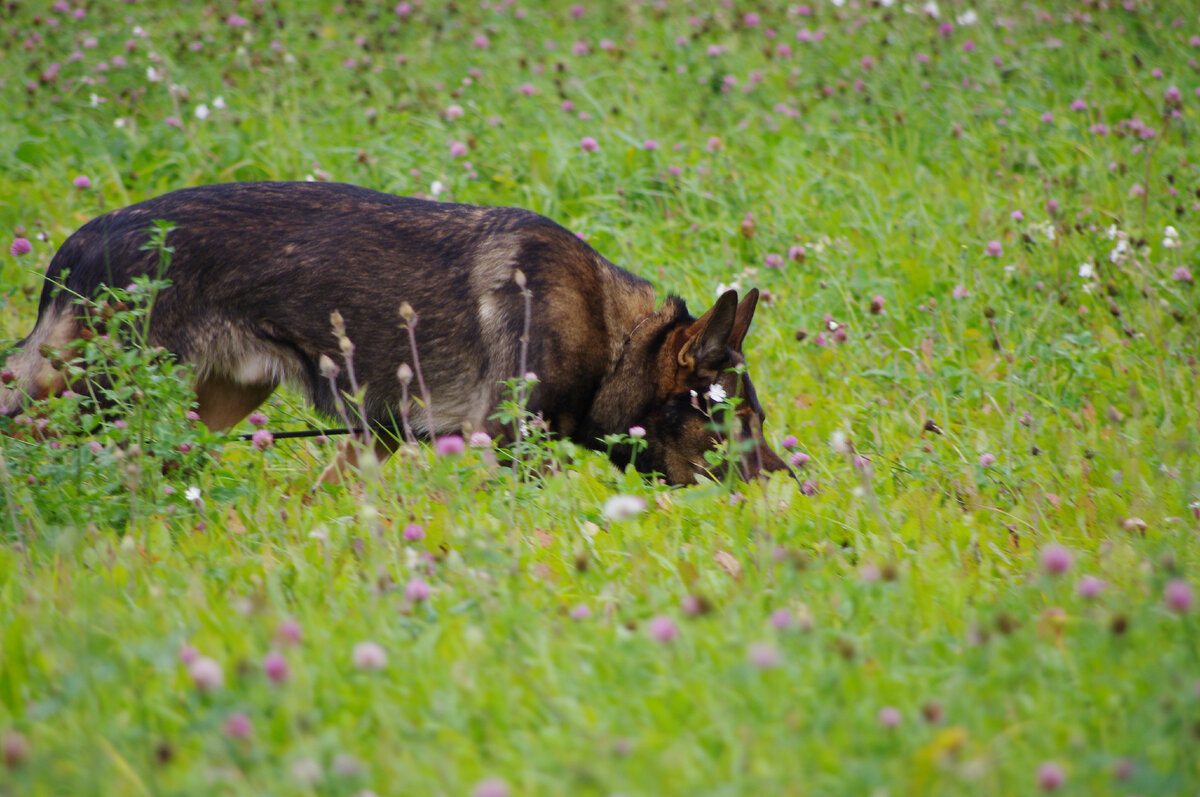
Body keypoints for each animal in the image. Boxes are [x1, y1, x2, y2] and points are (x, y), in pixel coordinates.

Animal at [4, 182, 792, 484]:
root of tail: (83, 241)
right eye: (740, 420)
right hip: (100, 397)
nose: (794, 491)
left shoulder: (372, 441)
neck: (612, 335)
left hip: (210, 405)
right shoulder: (511, 449)